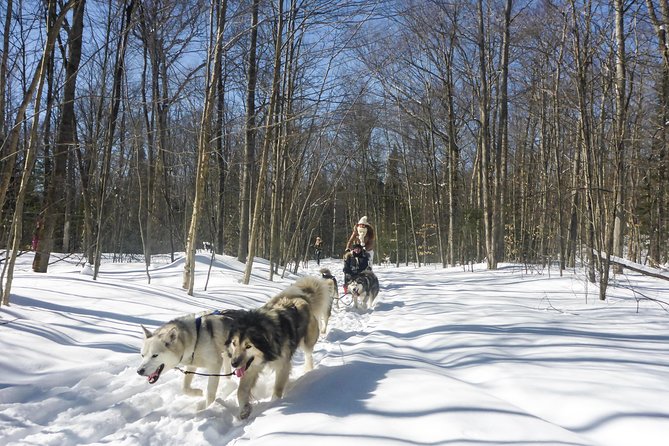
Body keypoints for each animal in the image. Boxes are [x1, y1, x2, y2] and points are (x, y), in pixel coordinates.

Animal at [226, 278, 330, 420]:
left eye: (248, 346)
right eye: (234, 343)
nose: (234, 363)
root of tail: (302, 298)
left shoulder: (283, 365)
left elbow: (278, 387)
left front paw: (273, 405)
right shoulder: (251, 367)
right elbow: (241, 391)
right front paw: (244, 410)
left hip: (307, 342)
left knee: (308, 354)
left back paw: (308, 369)